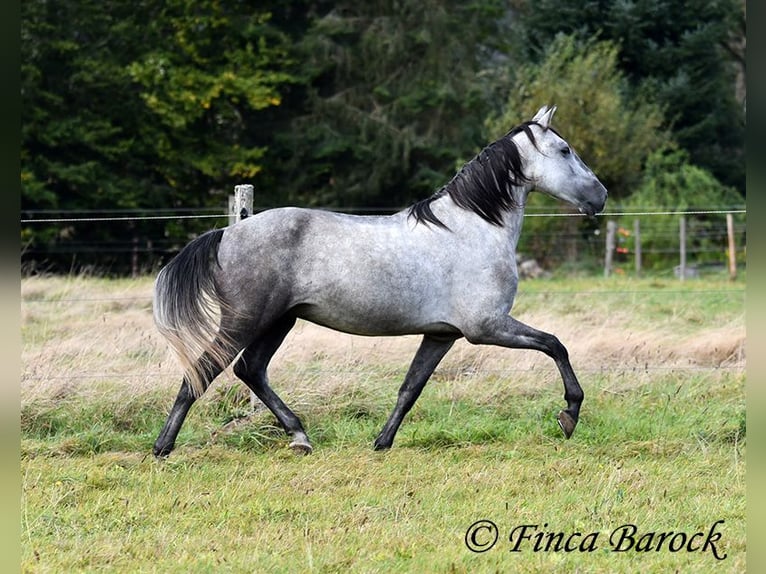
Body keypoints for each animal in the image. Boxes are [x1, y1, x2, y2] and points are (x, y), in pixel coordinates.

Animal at [153, 106, 608, 460]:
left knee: (250, 370)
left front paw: (382, 442)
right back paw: (162, 448)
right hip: (246, 320)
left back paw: (300, 437)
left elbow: (410, 388)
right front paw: (569, 415)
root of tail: (227, 234)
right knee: (202, 372)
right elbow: (556, 345)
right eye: (565, 150)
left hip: (280, 320)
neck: (473, 228)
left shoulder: (442, 335)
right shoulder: (487, 327)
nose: (600, 197)